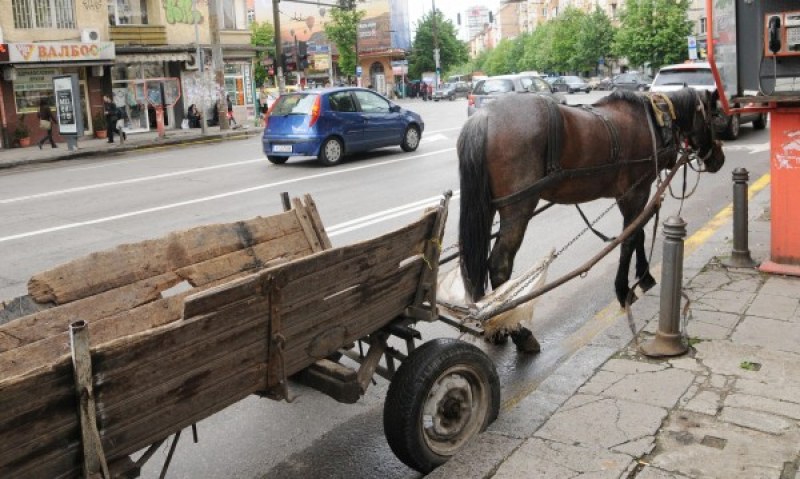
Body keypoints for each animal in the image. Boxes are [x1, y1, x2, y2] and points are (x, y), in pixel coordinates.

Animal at [456, 90, 724, 350]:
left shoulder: (628, 195)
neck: (655, 120)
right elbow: (630, 237)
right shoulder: (636, 192)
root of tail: (484, 116)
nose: (719, 160)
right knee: (499, 264)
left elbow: (638, 233)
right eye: (714, 117)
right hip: (518, 207)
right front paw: (624, 290)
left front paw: (644, 277)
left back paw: (493, 326)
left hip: (489, 207)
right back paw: (519, 333)